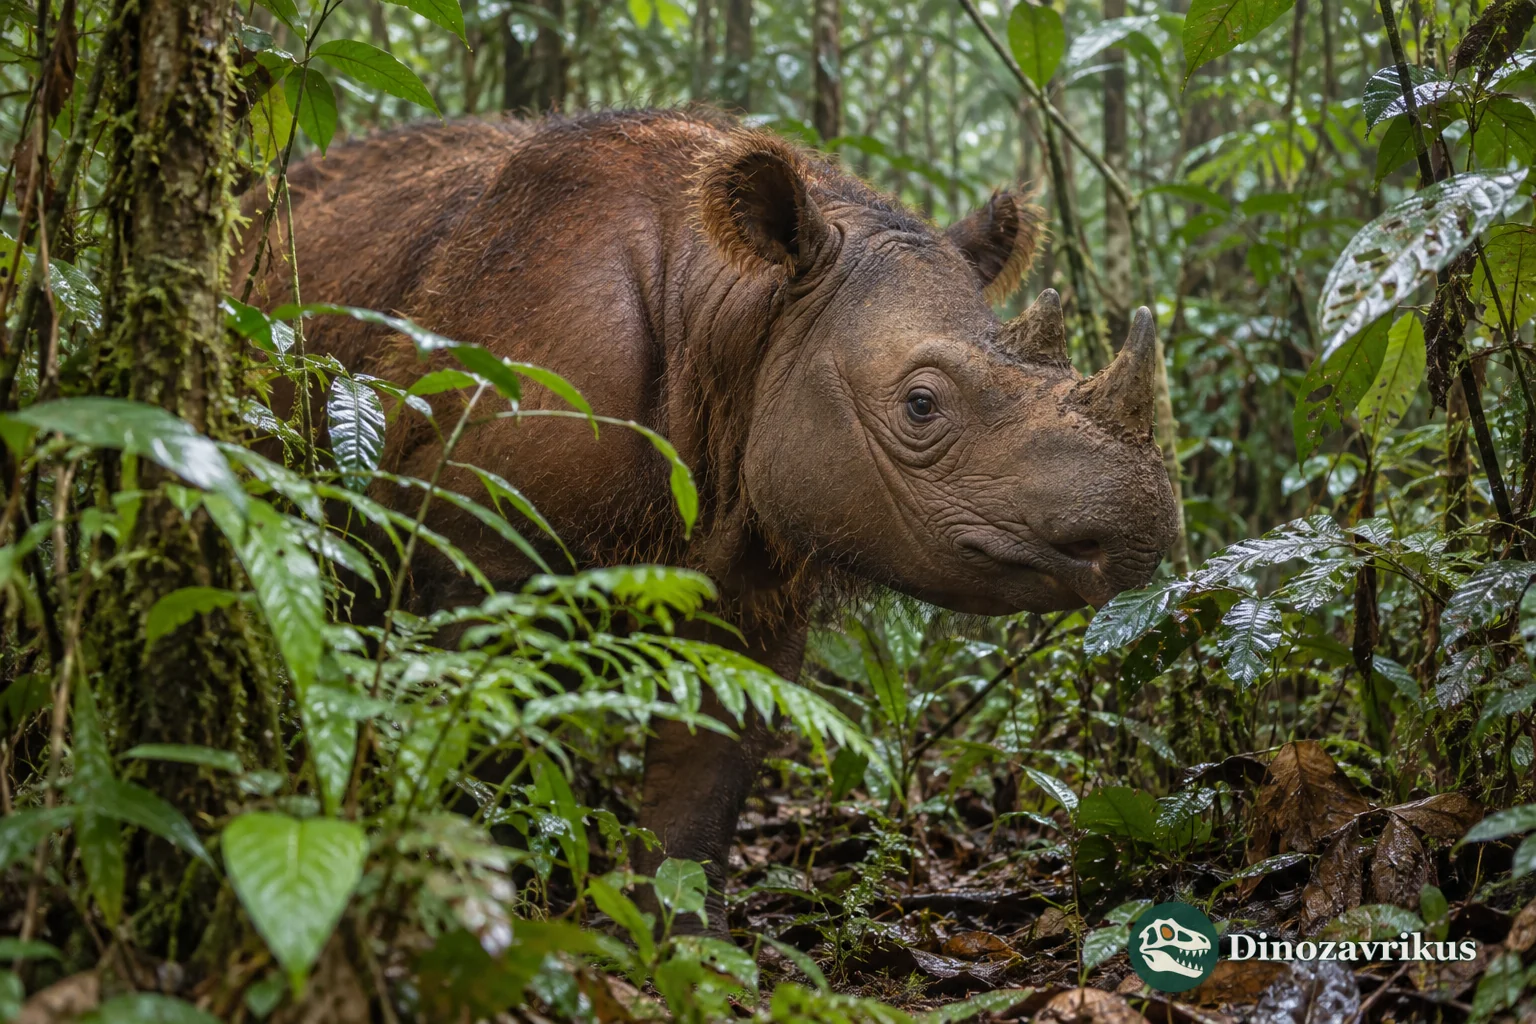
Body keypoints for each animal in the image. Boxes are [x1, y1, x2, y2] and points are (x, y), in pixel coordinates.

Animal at [243, 109, 1179, 922]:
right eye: (920, 406)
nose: (1144, 524)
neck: (741, 311)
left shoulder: (752, 569)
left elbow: (709, 773)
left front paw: (685, 944)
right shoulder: (474, 539)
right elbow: (472, 730)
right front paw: (479, 902)